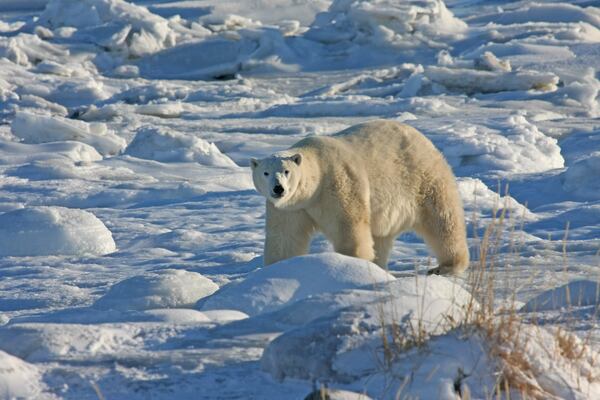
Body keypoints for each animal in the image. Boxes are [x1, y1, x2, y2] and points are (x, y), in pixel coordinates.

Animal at [251, 119, 472, 276]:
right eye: (265, 173)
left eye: (286, 171)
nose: (278, 189)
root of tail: (422, 138)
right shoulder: (289, 208)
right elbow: (284, 237)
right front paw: (275, 269)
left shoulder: (338, 184)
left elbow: (349, 226)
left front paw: (350, 264)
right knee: (381, 236)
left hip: (422, 177)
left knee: (442, 220)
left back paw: (446, 266)